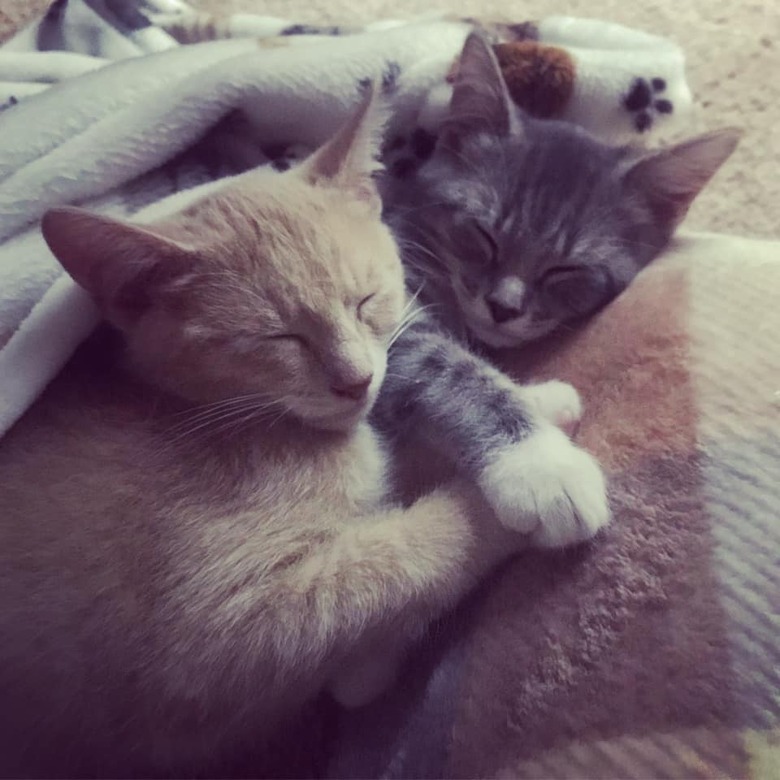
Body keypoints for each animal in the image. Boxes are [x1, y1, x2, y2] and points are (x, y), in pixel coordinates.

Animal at [0, 90, 536, 772]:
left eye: (365, 301)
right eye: (280, 338)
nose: (357, 381)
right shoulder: (221, 637)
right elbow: (401, 555)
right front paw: (530, 484)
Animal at [374, 30, 740, 532]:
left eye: (565, 270)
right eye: (483, 235)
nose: (503, 307)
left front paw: (541, 401)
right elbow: (442, 366)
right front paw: (542, 465)